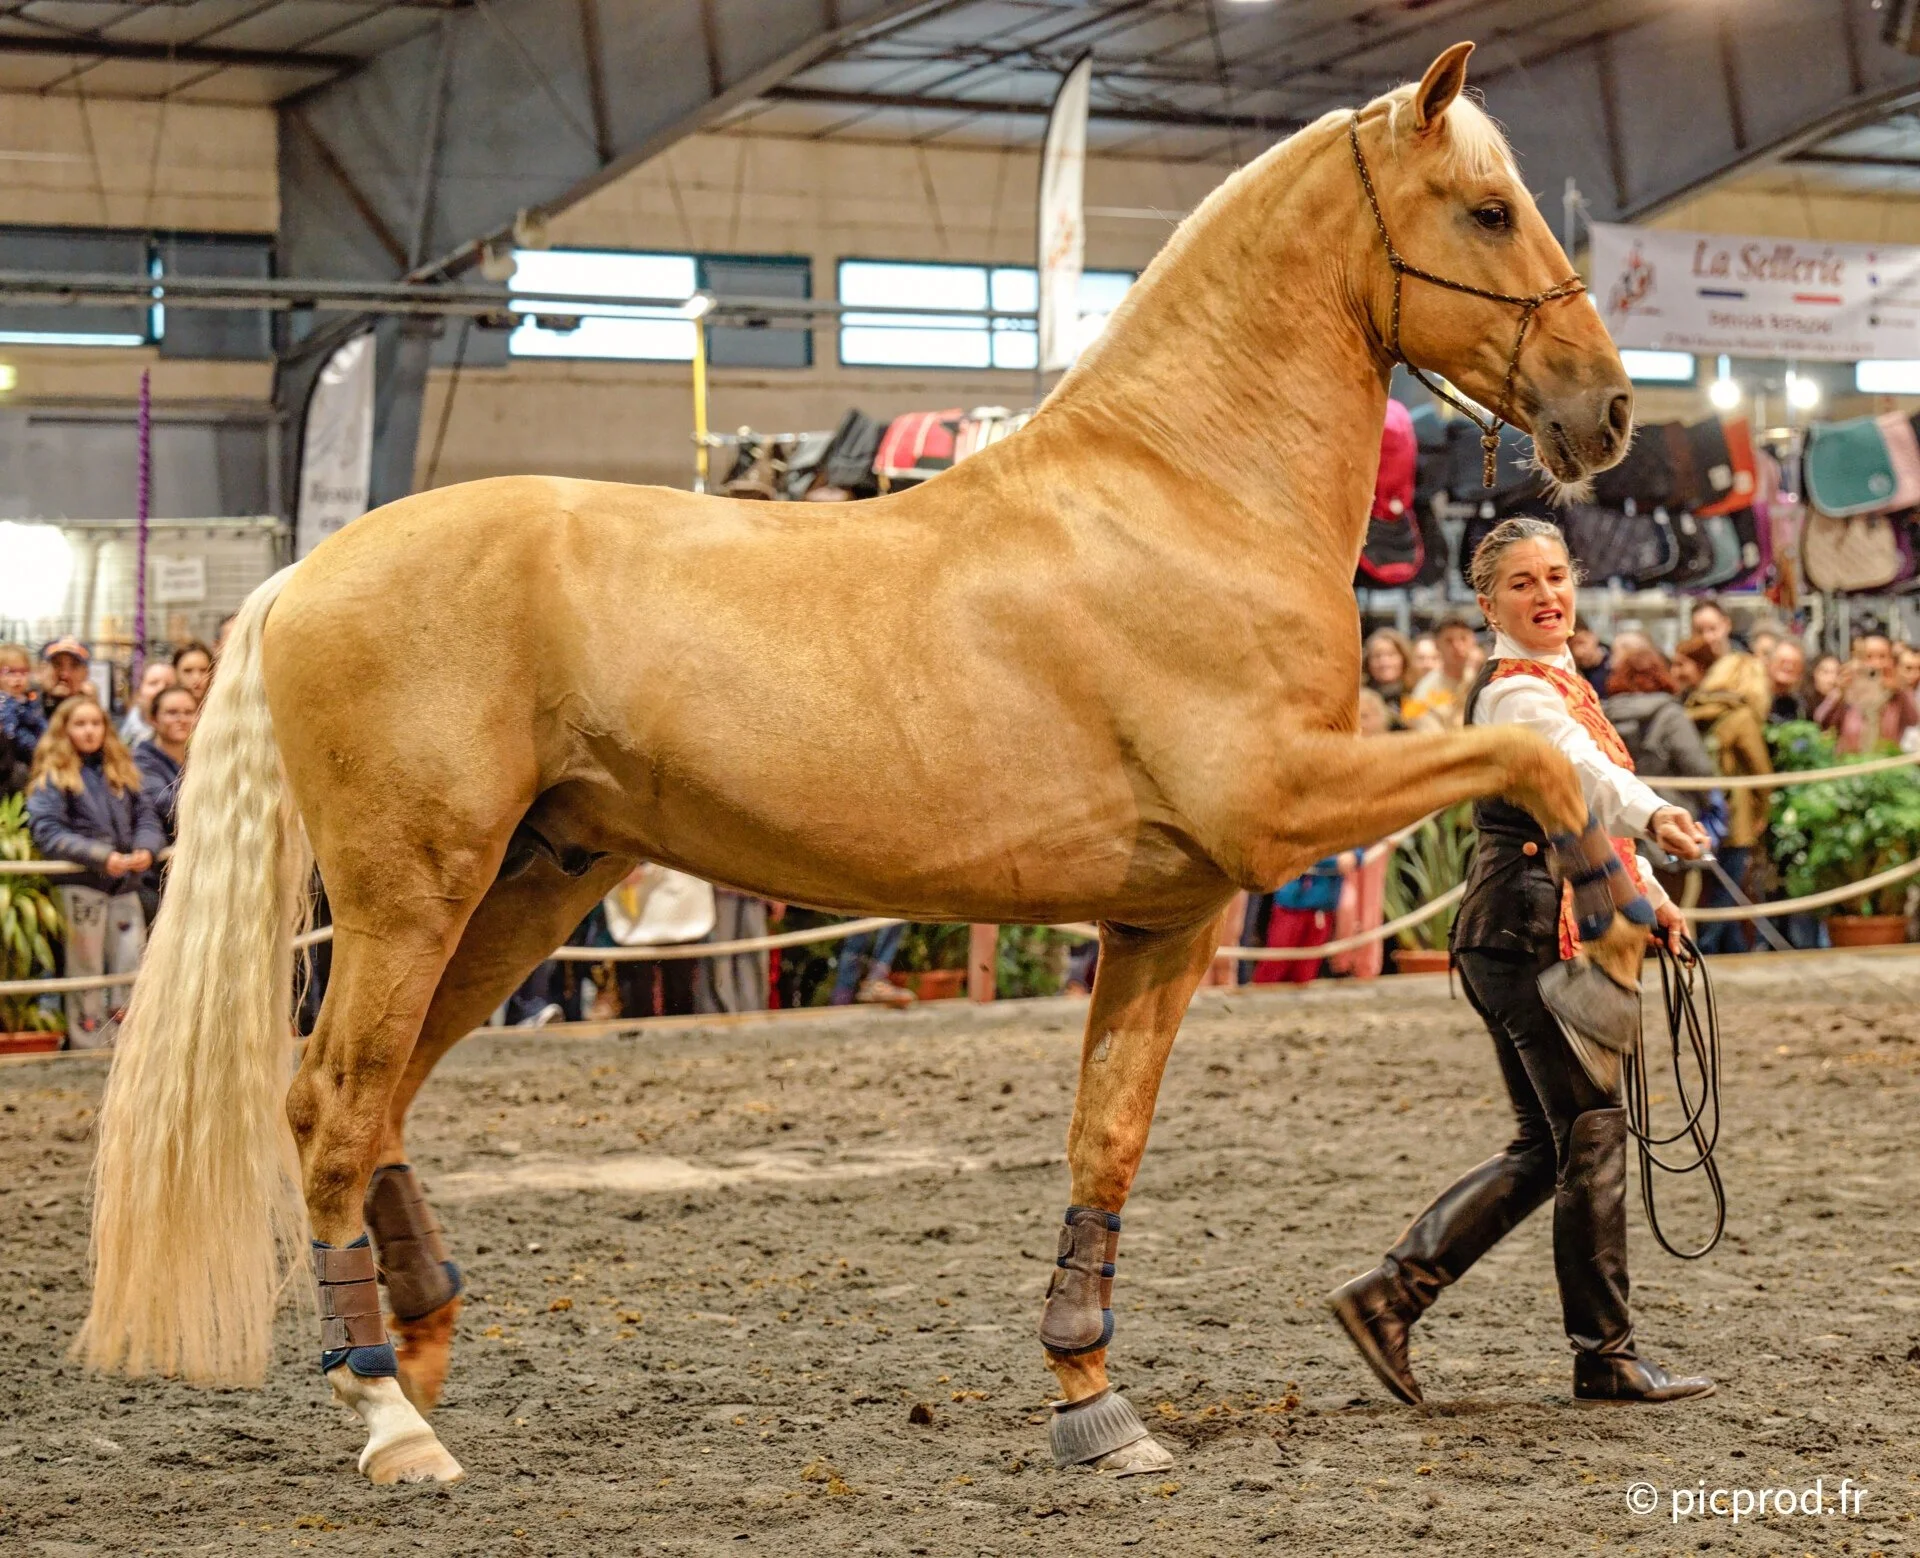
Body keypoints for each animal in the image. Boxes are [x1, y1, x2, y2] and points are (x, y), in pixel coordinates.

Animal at [80, 42, 1643, 1485]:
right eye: (1489, 209)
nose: (1611, 409)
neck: (1182, 494)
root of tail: (304, 574)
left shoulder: (1169, 915)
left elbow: (1105, 1143)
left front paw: (1094, 1404)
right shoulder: (1283, 806)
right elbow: (1526, 757)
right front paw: (1624, 895)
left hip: (527, 886)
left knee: (382, 1097)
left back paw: (419, 1345)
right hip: (414, 896)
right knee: (331, 1108)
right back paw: (390, 1418)